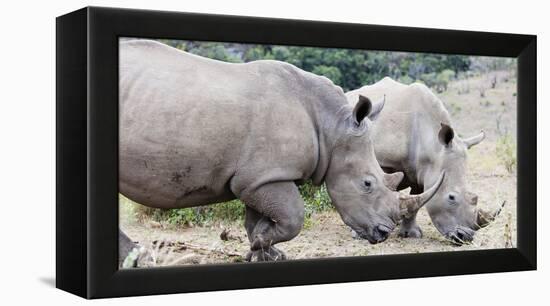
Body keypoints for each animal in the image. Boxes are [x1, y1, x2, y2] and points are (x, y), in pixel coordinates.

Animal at [118, 39, 446, 262]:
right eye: (367, 184)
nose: (383, 234)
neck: (332, 128)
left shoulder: (260, 176)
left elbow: (259, 220)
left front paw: (263, 251)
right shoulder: (265, 176)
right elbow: (294, 217)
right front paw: (261, 247)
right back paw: (138, 257)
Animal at [348, 77, 506, 244]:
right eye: (451, 197)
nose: (465, 237)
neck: (433, 145)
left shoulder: (422, 170)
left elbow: (417, 199)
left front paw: (410, 234)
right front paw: (359, 233)